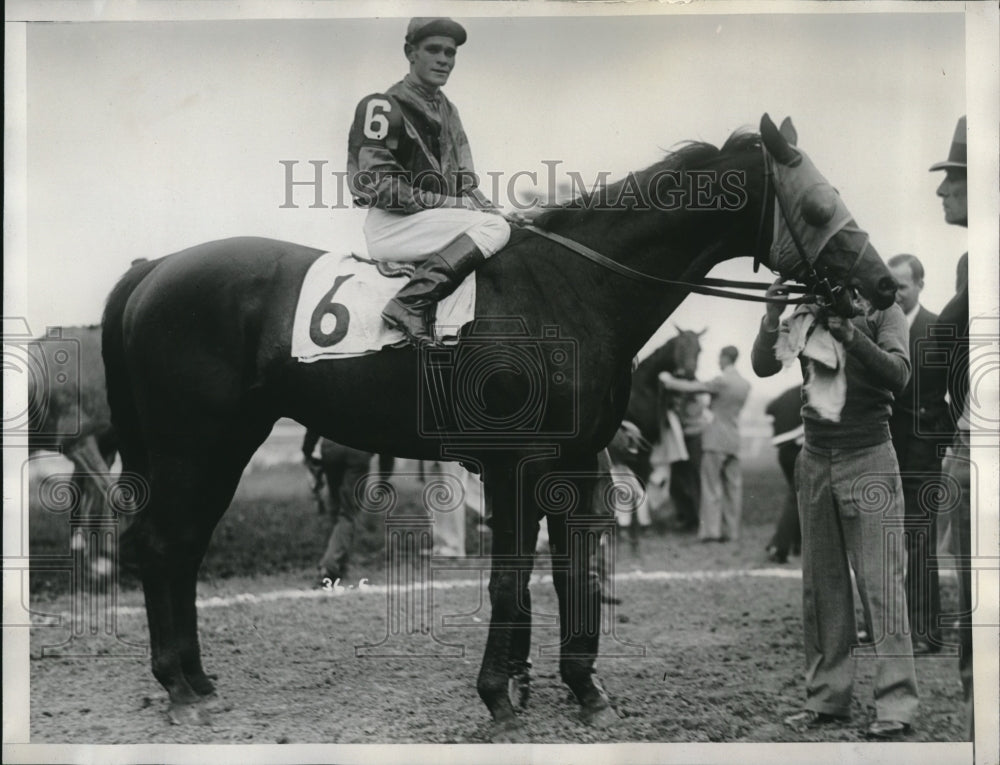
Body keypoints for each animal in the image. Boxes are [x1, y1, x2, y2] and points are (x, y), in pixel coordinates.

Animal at [101, 115, 900, 740]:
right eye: (819, 204)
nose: (884, 284)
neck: (575, 287)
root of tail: (156, 266)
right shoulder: (518, 463)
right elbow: (510, 576)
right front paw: (499, 694)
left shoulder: (574, 462)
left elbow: (571, 571)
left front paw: (582, 688)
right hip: (199, 444)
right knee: (167, 545)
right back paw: (181, 687)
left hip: (211, 447)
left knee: (178, 547)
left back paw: (195, 681)